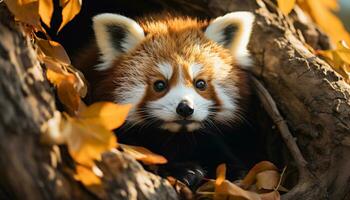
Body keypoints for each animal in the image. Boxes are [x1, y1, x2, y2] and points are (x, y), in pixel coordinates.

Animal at [75, 12, 256, 189]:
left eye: (200, 83)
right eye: (160, 84)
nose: (185, 108)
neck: (177, 136)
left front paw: (234, 174)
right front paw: (185, 171)